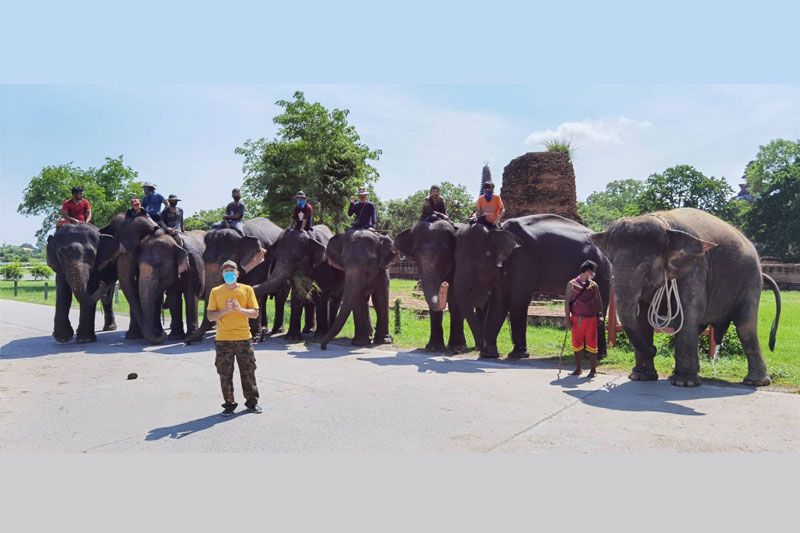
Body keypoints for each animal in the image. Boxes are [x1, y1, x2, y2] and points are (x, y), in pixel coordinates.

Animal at [394, 220, 468, 354]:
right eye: (415, 254)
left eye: (444, 254)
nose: (444, 284)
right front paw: (433, 347)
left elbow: (456, 300)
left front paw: (458, 348)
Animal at [478, 214, 616, 360]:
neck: (500, 227)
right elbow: (499, 301)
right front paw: (488, 355)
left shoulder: (523, 260)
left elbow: (517, 300)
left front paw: (516, 355)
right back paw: (587, 354)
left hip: (601, 274)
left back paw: (595, 356)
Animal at [592, 206, 784, 384]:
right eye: (611, 262)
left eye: (646, 266)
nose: (654, 349)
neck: (666, 226)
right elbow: (642, 318)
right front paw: (641, 377)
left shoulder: (696, 266)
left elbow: (689, 309)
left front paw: (684, 383)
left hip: (751, 281)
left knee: (745, 327)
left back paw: (755, 382)